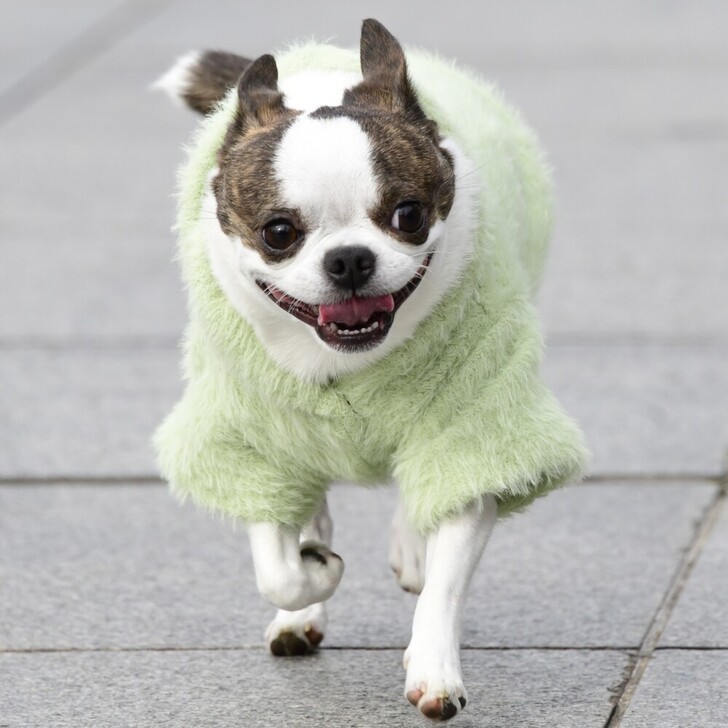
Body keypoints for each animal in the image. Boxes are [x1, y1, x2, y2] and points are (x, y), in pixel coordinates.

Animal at [154, 19, 586, 722]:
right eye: (278, 233)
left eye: (408, 215)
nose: (350, 258)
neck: (345, 361)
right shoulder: (255, 443)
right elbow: (278, 564)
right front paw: (313, 575)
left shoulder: (475, 429)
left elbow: (445, 576)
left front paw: (435, 669)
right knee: (314, 514)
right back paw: (302, 607)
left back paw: (407, 549)